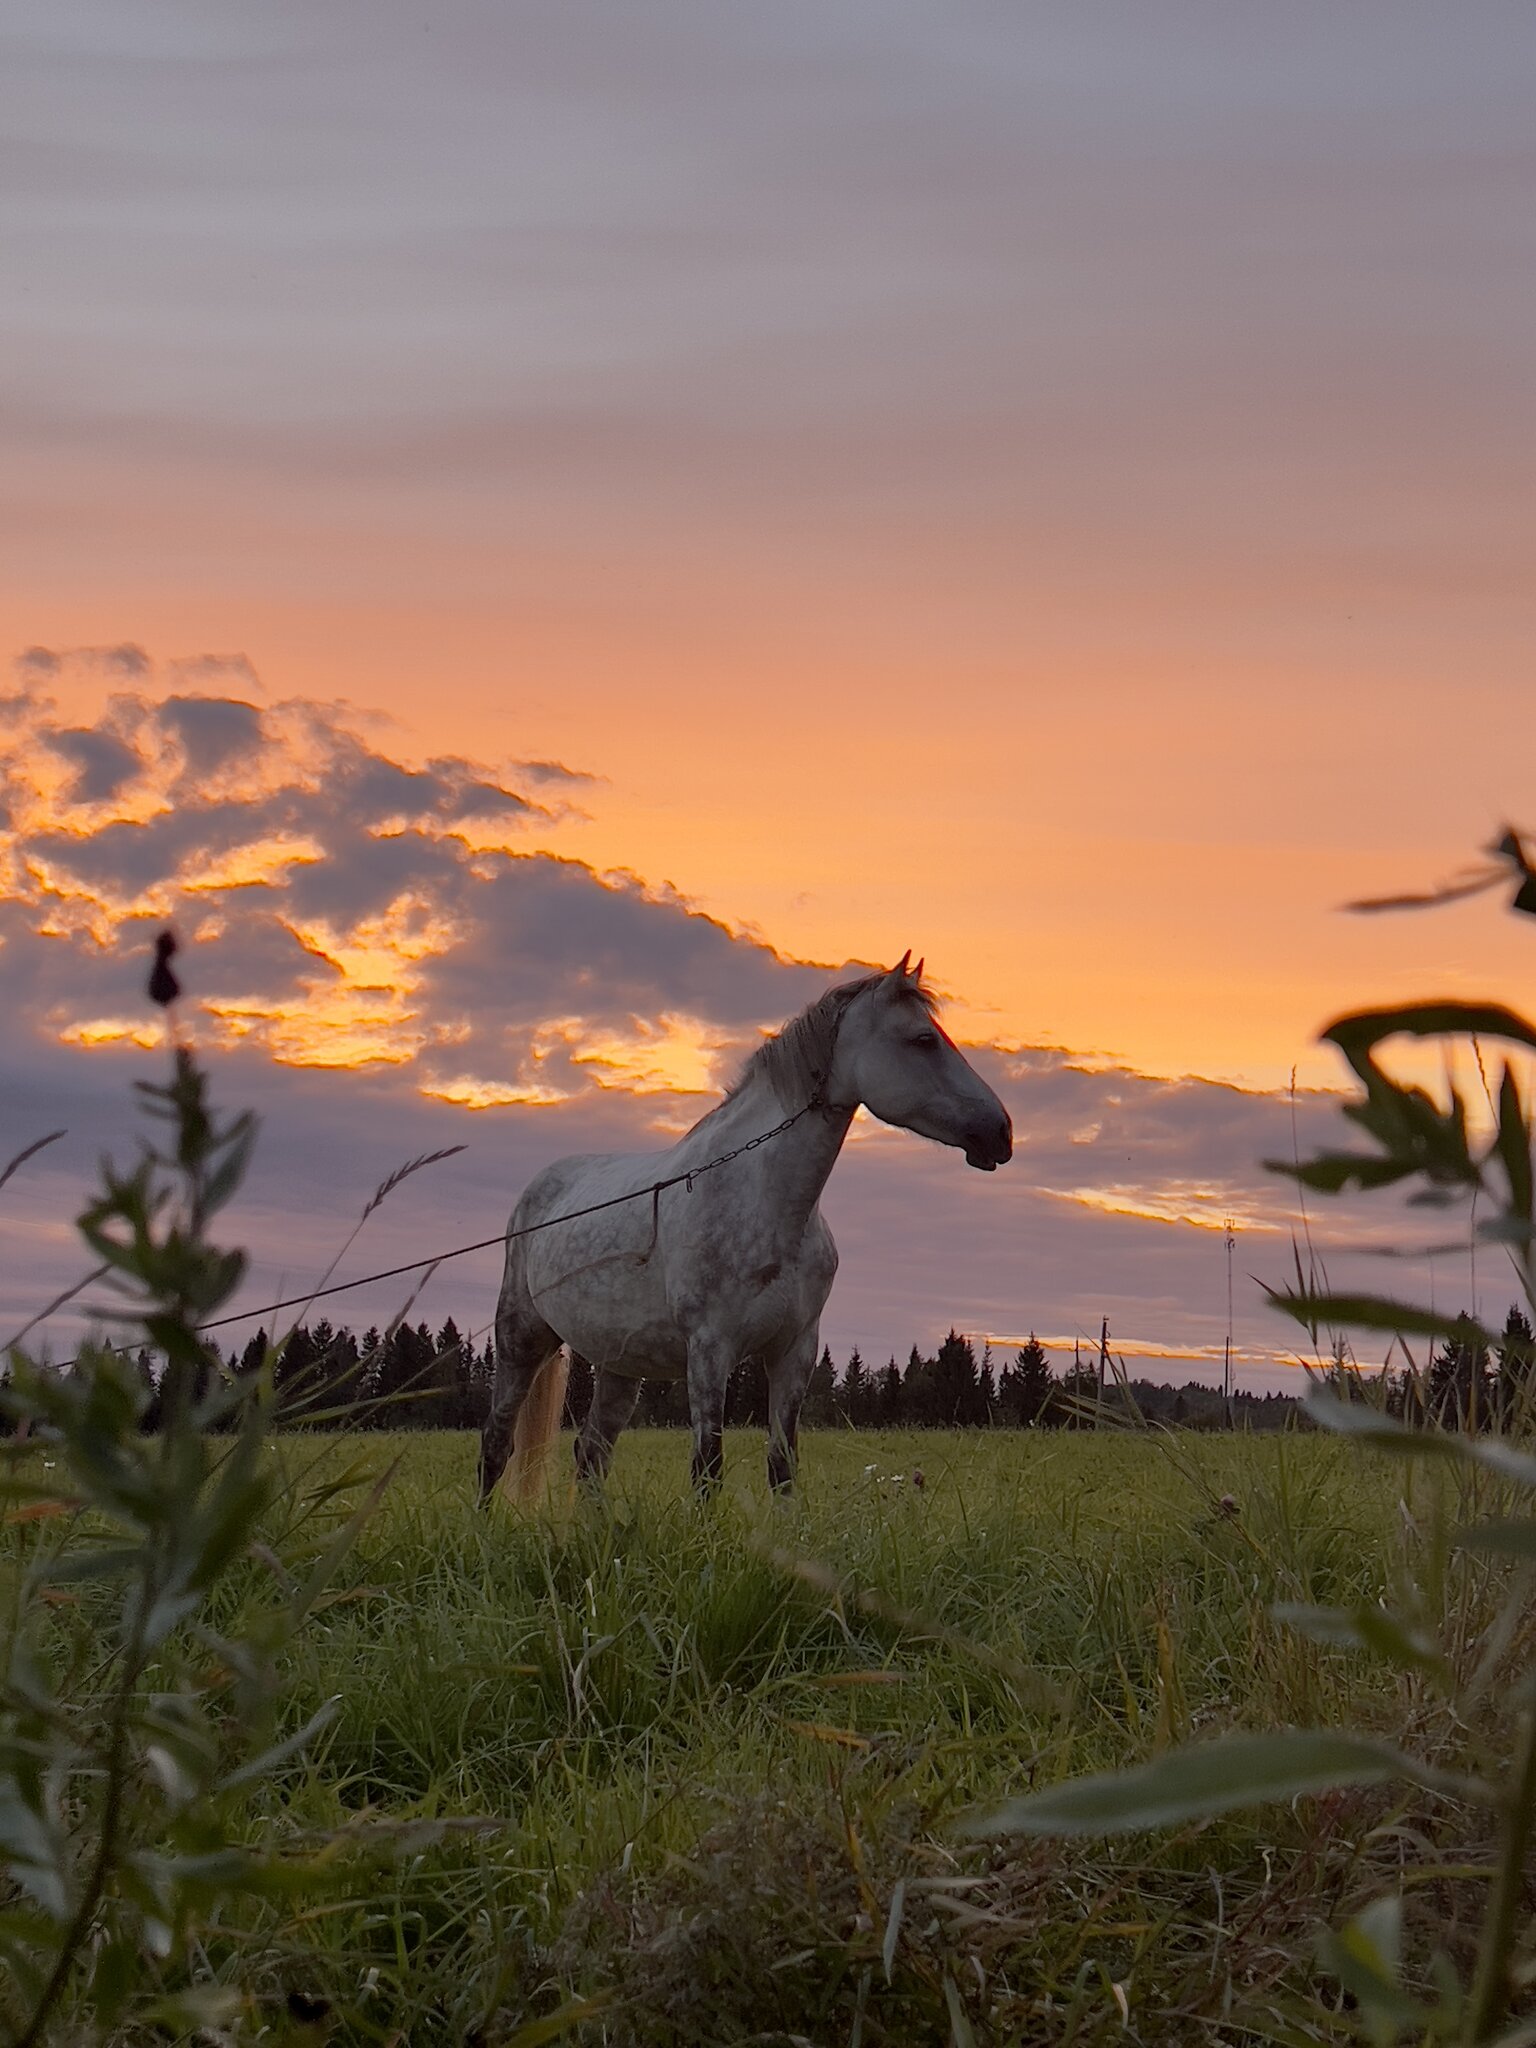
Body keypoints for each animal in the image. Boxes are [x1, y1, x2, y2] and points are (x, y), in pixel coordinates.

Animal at [478, 955, 1012, 1502]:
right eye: (923, 1039)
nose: (1000, 1132)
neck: (766, 1204)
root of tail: (539, 1189)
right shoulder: (710, 1350)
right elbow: (707, 1468)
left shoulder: (795, 1352)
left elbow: (782, 1466)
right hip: (521, 1339)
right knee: (497, 1444)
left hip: (619, 1365)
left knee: (591, 1455)